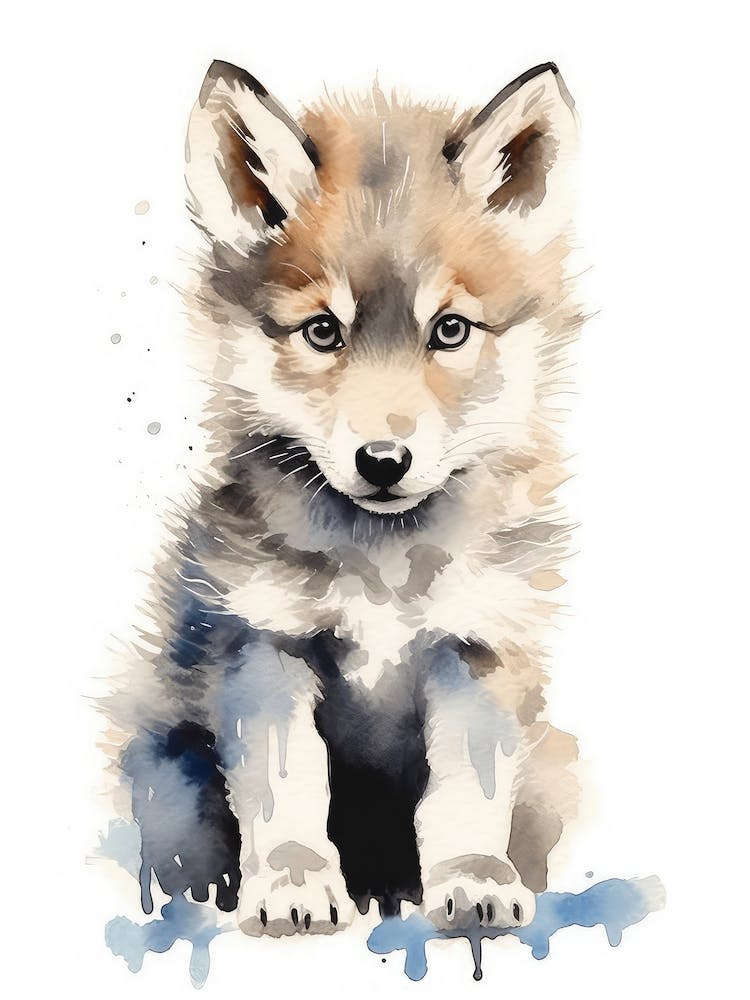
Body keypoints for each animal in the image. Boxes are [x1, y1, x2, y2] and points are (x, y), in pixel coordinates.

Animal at [107, 58, 582, 940]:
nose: (384, 462)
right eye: (323, 332)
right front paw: (293, 885)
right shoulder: (266, 644)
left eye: (451, 331)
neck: (383, 569)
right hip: (166, 772)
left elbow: (467, 793)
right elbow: (287, 789)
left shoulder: (476, 649)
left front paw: (473, 881)